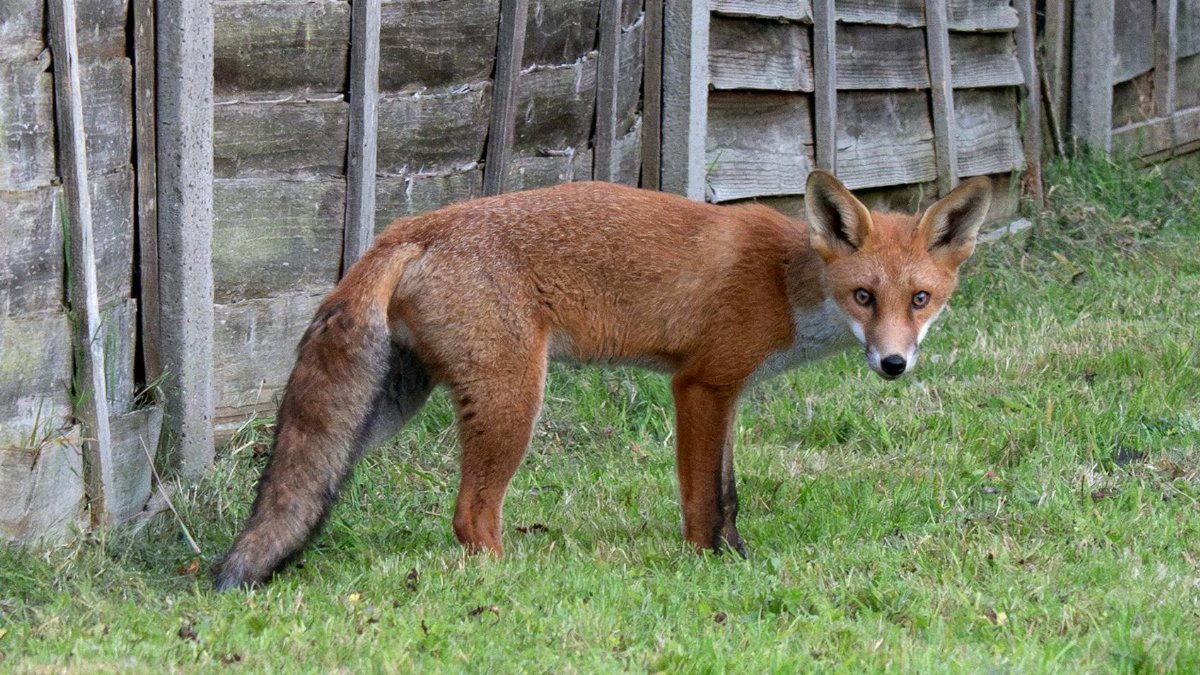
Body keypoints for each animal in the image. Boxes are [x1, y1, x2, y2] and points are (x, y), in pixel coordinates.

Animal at [213, 170, 991, 590]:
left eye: (920, 300)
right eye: (864, 296)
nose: (894, 364)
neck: (783, 284)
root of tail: (413, 225)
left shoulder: (731, 393)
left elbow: (731, 494)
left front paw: (740, 558)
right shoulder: (701, 386)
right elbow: (704, 501)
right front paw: (709, 567)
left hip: (384, 410)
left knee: (304, 483)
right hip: (512, 399)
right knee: (471, 516)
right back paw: (511, 580)